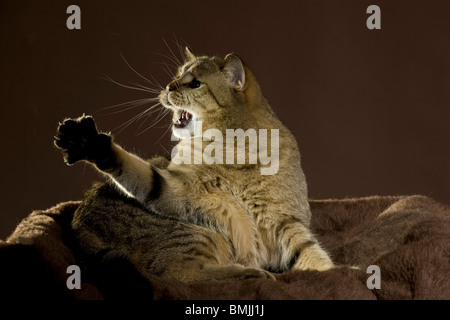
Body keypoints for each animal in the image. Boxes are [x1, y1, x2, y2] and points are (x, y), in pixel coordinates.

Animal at [54, 48, 332, 282]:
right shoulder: (178, 189)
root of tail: (78, 226)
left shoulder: (287, 221)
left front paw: (335, 273)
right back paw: (253, 273)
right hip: (199, 232)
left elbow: (313, 255)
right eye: (177, 75)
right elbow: (140, 173)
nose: (167, 87)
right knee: (183, 272)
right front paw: (90, 143)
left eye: (195, 83)